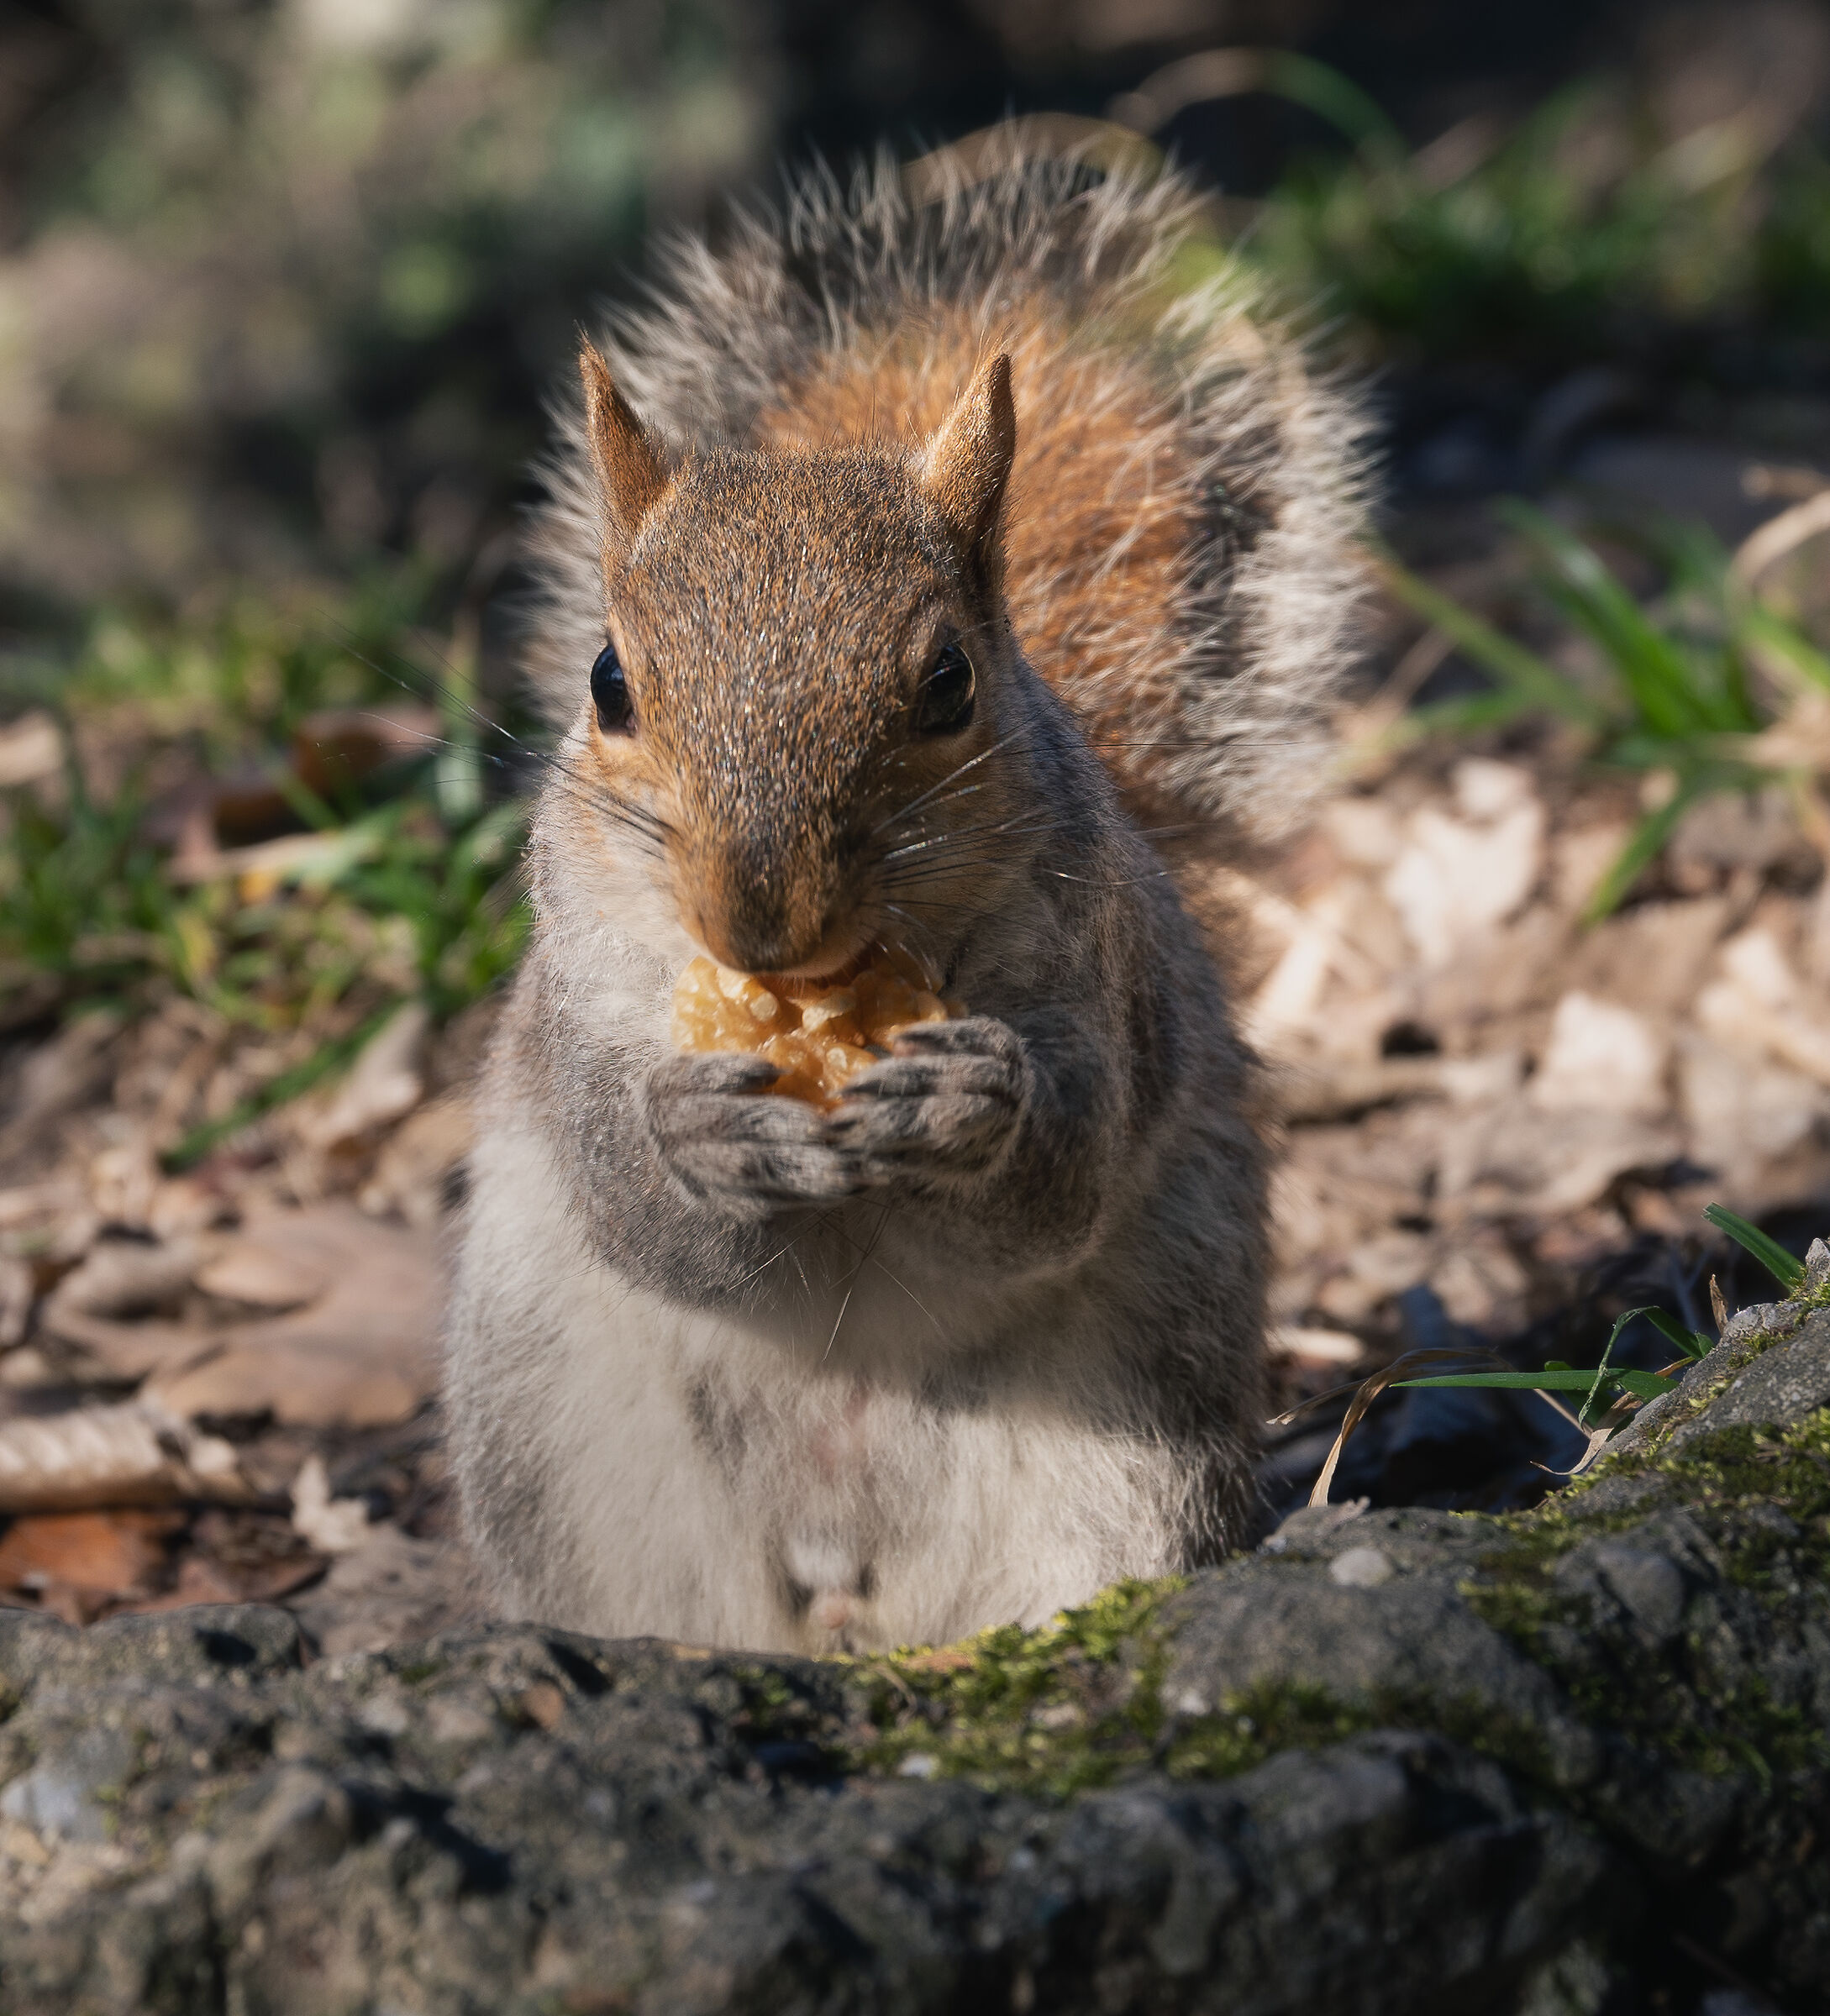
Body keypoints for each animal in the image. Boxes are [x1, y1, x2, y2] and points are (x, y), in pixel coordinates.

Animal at [444, 144, 1366, 1655]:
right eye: (607, 683)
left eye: (949, 685)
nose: (758, 923)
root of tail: (846, 1569)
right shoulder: (576, 988)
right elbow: (635, 1206)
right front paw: (696, 1137)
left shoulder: (1093, 967)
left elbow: (1064, 1175)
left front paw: (968, 1108)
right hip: (566, 1453)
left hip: (1126, 1429)